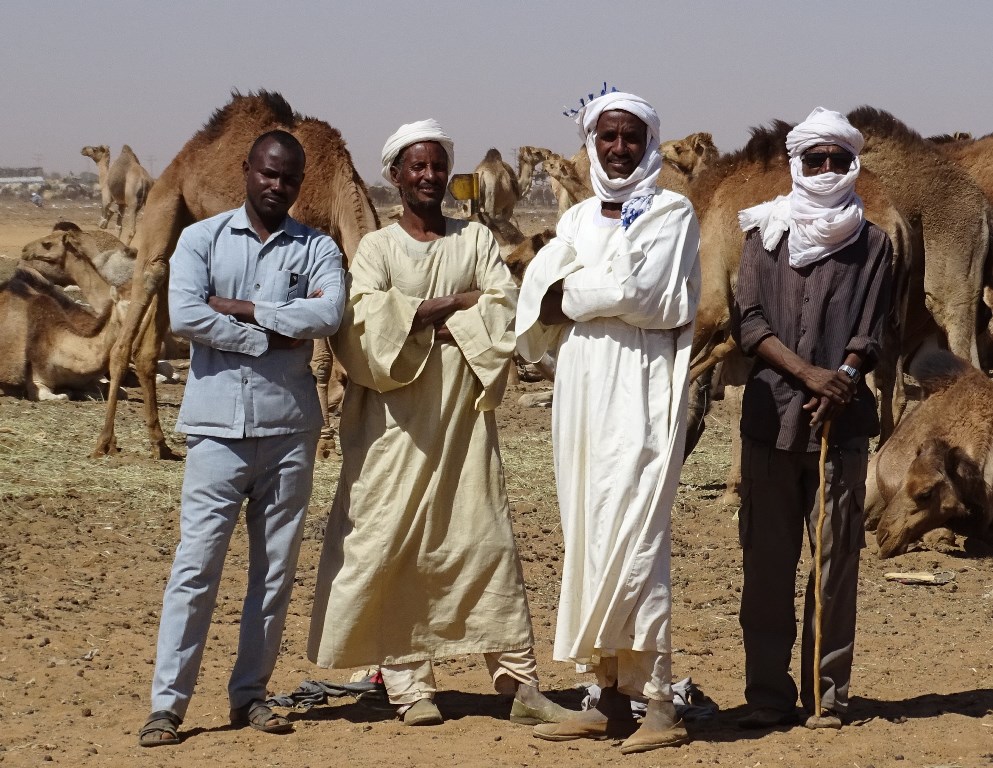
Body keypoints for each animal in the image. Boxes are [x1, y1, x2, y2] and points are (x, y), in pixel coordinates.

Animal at [90, 91, 380, 462]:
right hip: (164, 202)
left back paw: (159, 442)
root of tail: (181, 158)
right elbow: (322, 361)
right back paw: (105, 440)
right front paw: (323, 443)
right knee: (151, 275)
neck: (336, 189)